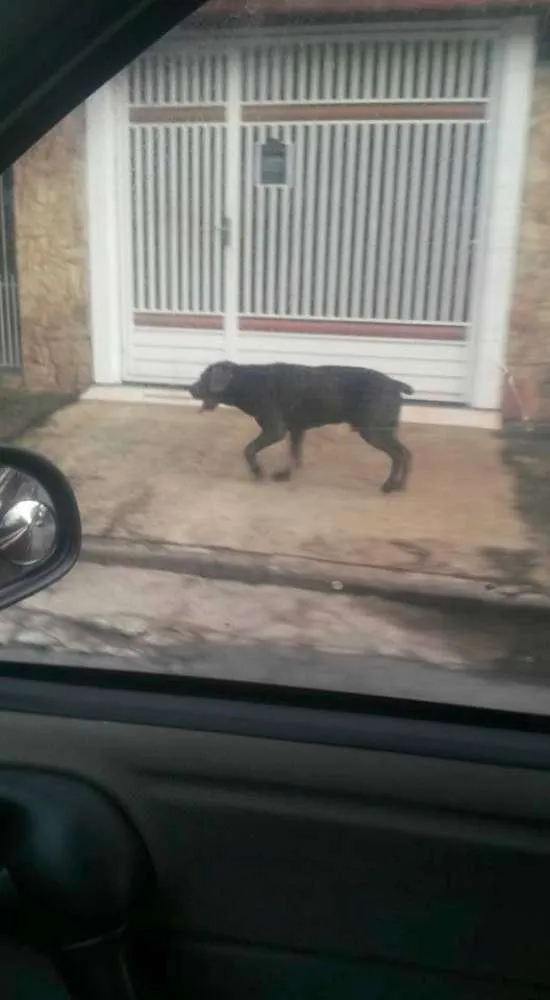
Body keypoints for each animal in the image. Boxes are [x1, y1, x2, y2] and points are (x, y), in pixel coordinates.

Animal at [190, 364, 414, 496]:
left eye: (204, 377)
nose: (190, 388)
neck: (248, 381)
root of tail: (396, 384)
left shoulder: (275, 429)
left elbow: (249, 449)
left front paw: (258, 471)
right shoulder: (296, 429)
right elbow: (294, 455)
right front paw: (285, 475)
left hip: (373, 431)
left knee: (399, 454)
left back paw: (389, 485)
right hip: (381, 431)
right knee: (405, 453)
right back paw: (400, 485)